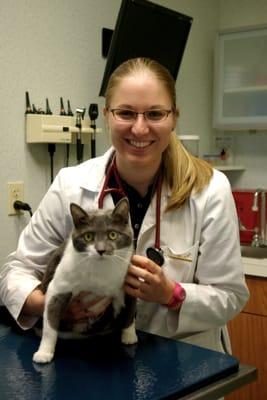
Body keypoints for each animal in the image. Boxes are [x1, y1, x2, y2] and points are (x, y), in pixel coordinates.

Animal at [33, 198, 138, 364]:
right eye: (88, 237)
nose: (101, 250)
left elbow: (130, 311)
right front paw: (44, 353)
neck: (100, 273)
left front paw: (129, 336)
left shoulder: (128, 281)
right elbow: (50, 322)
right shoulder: (58, 287)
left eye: (113, 234)